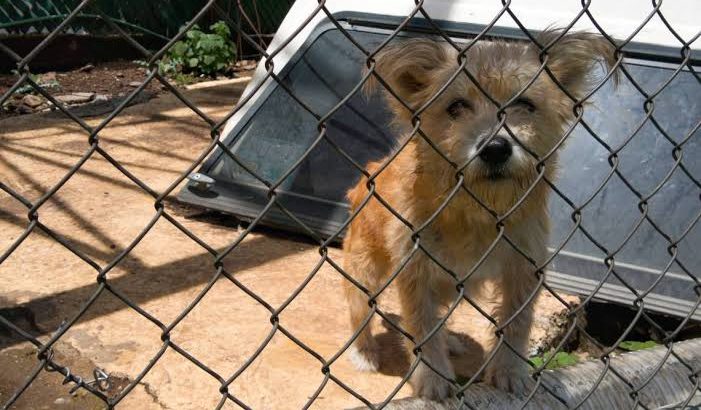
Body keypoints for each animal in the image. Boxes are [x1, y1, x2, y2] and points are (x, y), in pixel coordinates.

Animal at [342, 29, 616, 400]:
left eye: (525, 105)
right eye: (456, 106)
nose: (496, 148)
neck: (478, 213)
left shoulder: (523, 268)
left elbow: (516, 324)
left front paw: (510, 372)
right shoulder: (416, 273)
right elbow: (421, 326)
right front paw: (433, 378)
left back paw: (450, 340)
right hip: (364, 272)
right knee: (360, 312)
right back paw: (364, 351)